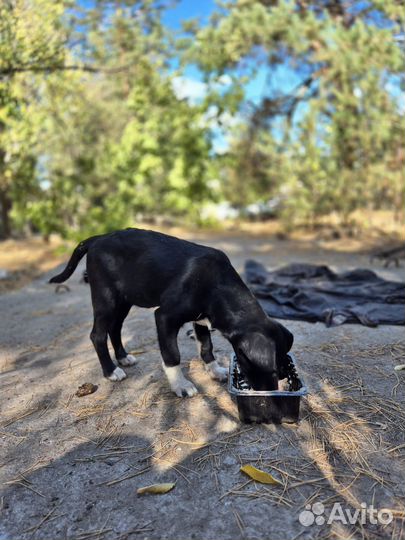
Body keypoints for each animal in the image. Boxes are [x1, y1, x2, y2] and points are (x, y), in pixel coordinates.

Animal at [49, 228, 292, 396]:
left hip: (124, 300)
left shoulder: (201, 321)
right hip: (106, 298)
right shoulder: (165, 317)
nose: (274, 389)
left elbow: (206, 347)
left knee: (115, 329)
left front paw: (214, 371)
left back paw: (123, 358)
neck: (217, 285)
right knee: (97, 334)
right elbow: (172, 355)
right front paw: (181, 385)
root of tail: (97, 238)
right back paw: (111, 371)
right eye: (271, 370)